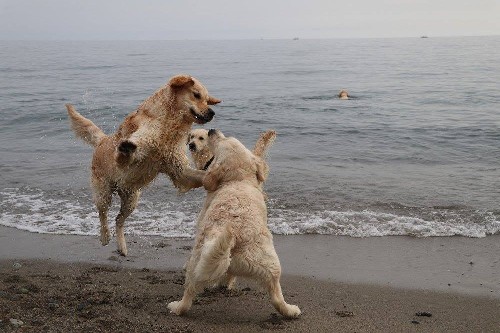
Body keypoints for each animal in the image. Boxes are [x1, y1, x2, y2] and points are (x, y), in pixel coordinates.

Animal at [66, 74, 221, 254]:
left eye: (207, 100)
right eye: (196, 95)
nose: (212, 112)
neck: (168, 124)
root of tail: (102, 140)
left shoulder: (180, 170)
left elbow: (201, 174)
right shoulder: (140, 146)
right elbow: (128, 151)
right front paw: (125, 148)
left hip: (131, 199)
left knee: (118, 219)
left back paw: (122, 247)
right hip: (103, 191)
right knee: (102, 213)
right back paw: (105, 236)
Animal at [168, 128, 300, 318]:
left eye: (223, 140)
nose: (211, 130)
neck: (239, 180)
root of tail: (234, 236)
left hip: (199, 260)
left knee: (190, 292)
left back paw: (177, 306)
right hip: (270, 265)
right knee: (276, 296)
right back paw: (290, 310)